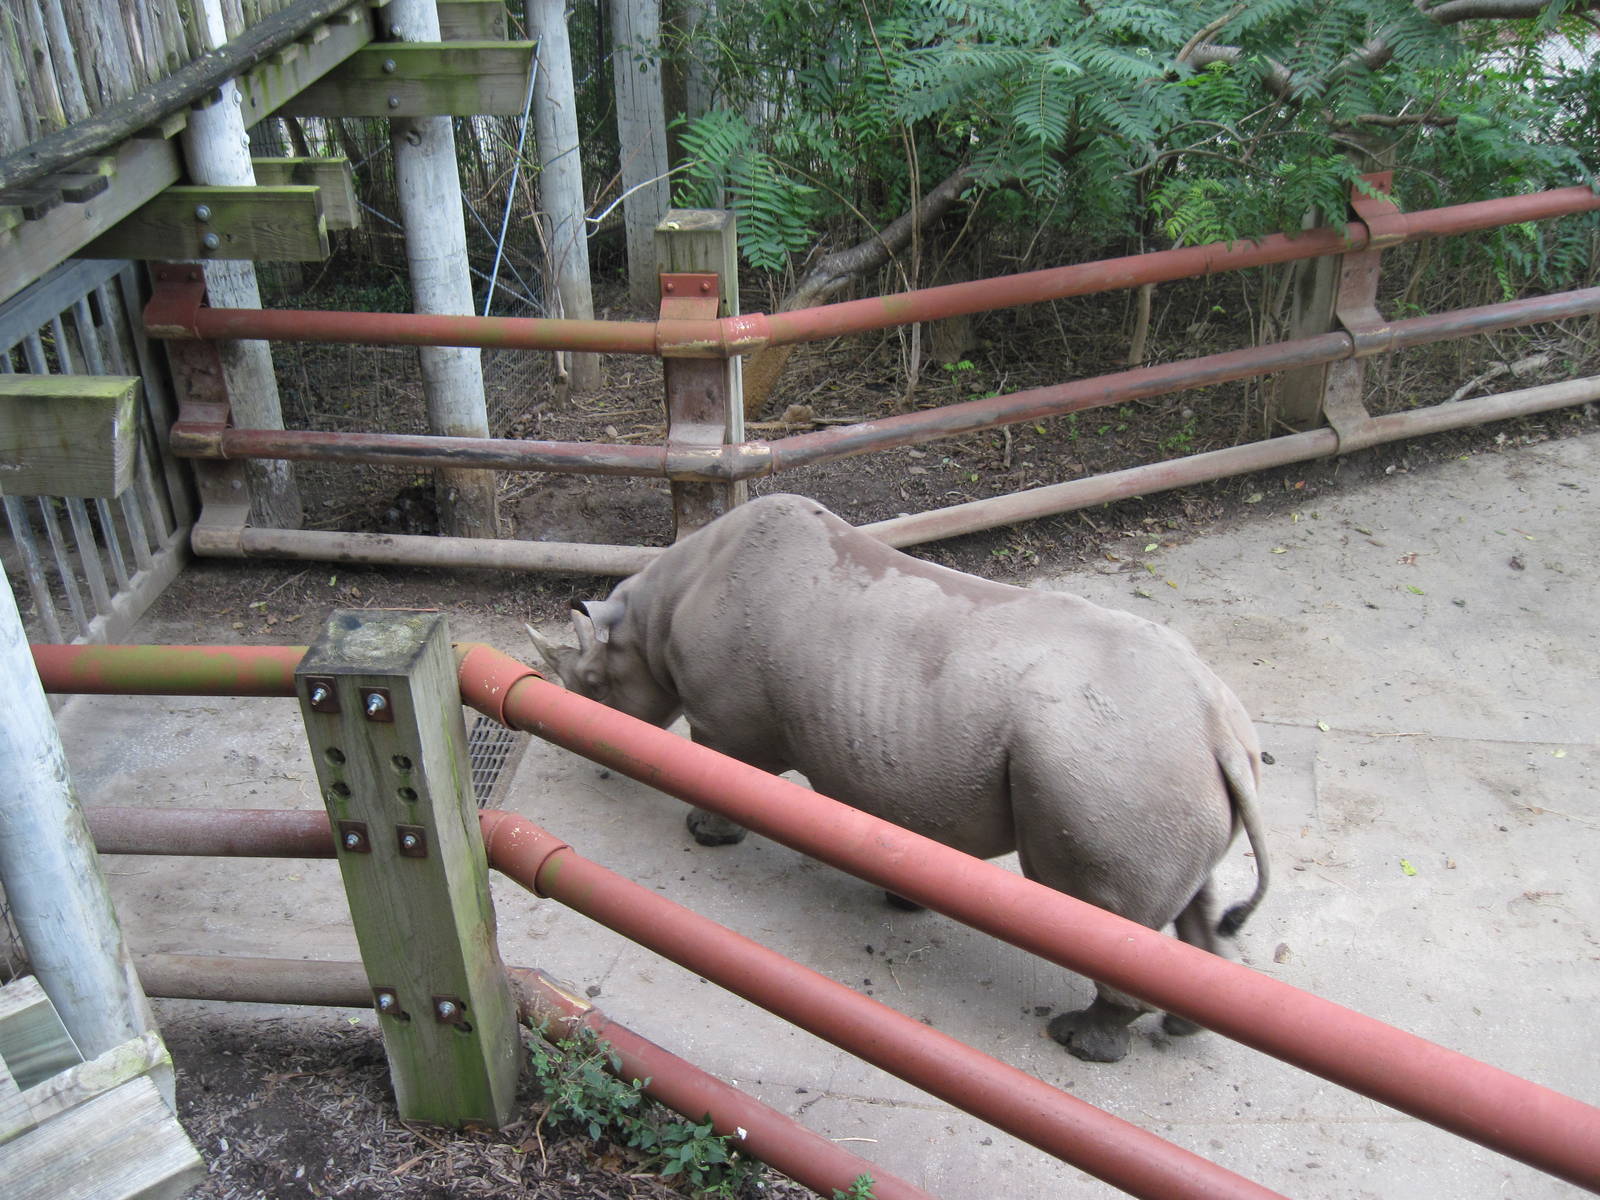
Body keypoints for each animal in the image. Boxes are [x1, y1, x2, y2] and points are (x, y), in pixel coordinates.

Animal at [527, 493, 1269, 1062]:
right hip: (1169, 769)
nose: (583, 740)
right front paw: (901, 897)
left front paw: (705, 834)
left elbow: (724, 775)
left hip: (1113, 766)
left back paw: (1078, 1042)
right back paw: (1179, 1028)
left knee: (1101, 910)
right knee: (1195, 896)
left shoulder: (723, 723)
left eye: (593, 683)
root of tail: (1220, 729)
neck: (655, 612)